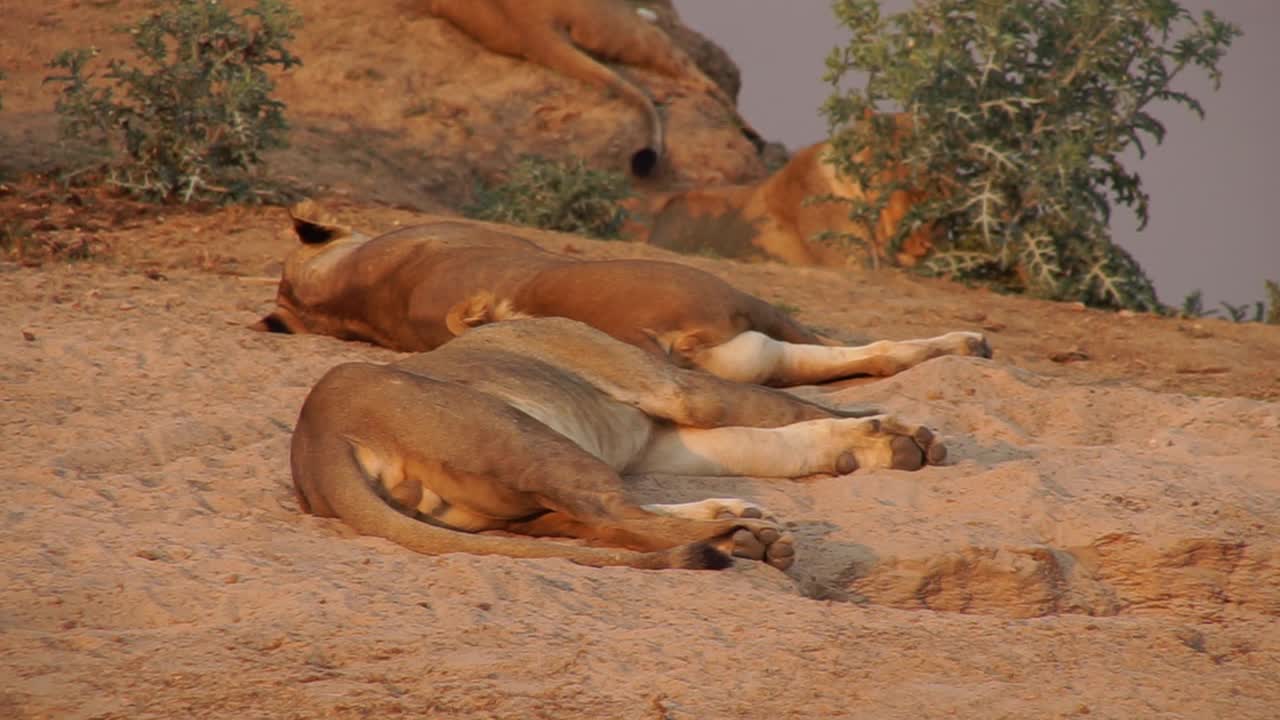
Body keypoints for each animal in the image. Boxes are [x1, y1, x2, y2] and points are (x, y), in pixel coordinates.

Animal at [294, 313, 947, 566]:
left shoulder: (661, 435)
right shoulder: (679, 391)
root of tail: (319, 436)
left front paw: (878, 444)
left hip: (500, 498)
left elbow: (775, 440)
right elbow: (790, 407)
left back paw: (733, 518)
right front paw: (896, 433)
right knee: (615, 513)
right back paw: (741, 537)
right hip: (526, 440)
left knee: (597, 521)